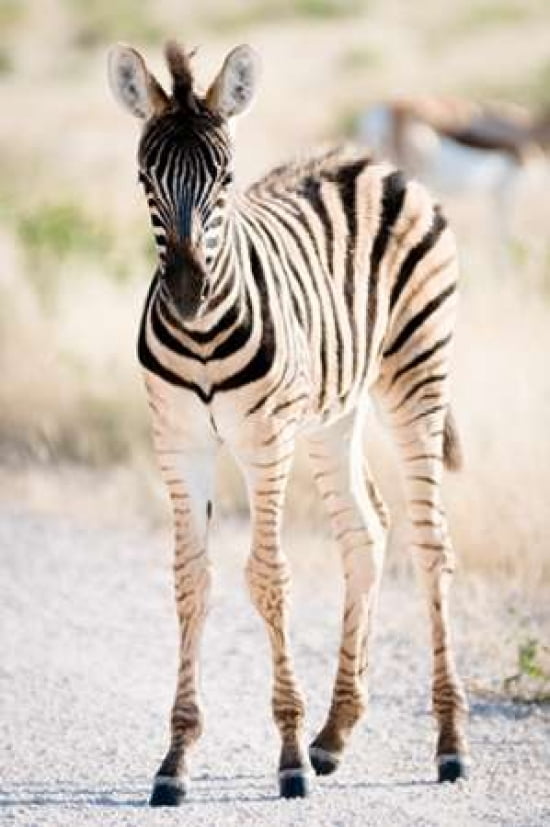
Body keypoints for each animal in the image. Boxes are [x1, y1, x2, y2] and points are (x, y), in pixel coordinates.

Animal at [107, 41, 469, 804]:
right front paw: (176, 758)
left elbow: (269, 576)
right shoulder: (178, 442)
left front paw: (288, 757)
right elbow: (191, 580)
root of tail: (372, 161)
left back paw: (450, 746)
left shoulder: (263, 440)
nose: (186, 293)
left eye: (226, 178)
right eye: (144, 177)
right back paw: (334, 733)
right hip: (336, 413)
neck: (203, 334)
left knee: (431, 546)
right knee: (367, 531)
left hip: (416, 376)